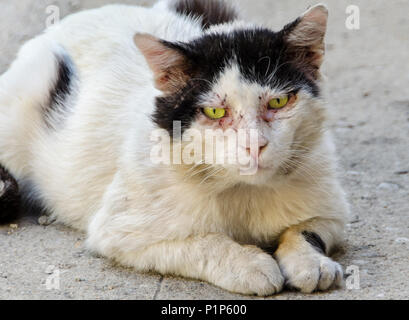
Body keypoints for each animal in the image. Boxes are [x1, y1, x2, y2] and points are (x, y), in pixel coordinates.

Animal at [0, 0, 350, 296]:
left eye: (278, 102)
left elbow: (306, 229)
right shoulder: (119, 230)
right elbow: (202, 242)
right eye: (215, 112)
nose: (254, 145)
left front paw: (311, 262)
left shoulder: (331, 208)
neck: (242, 191)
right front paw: (249, 265)